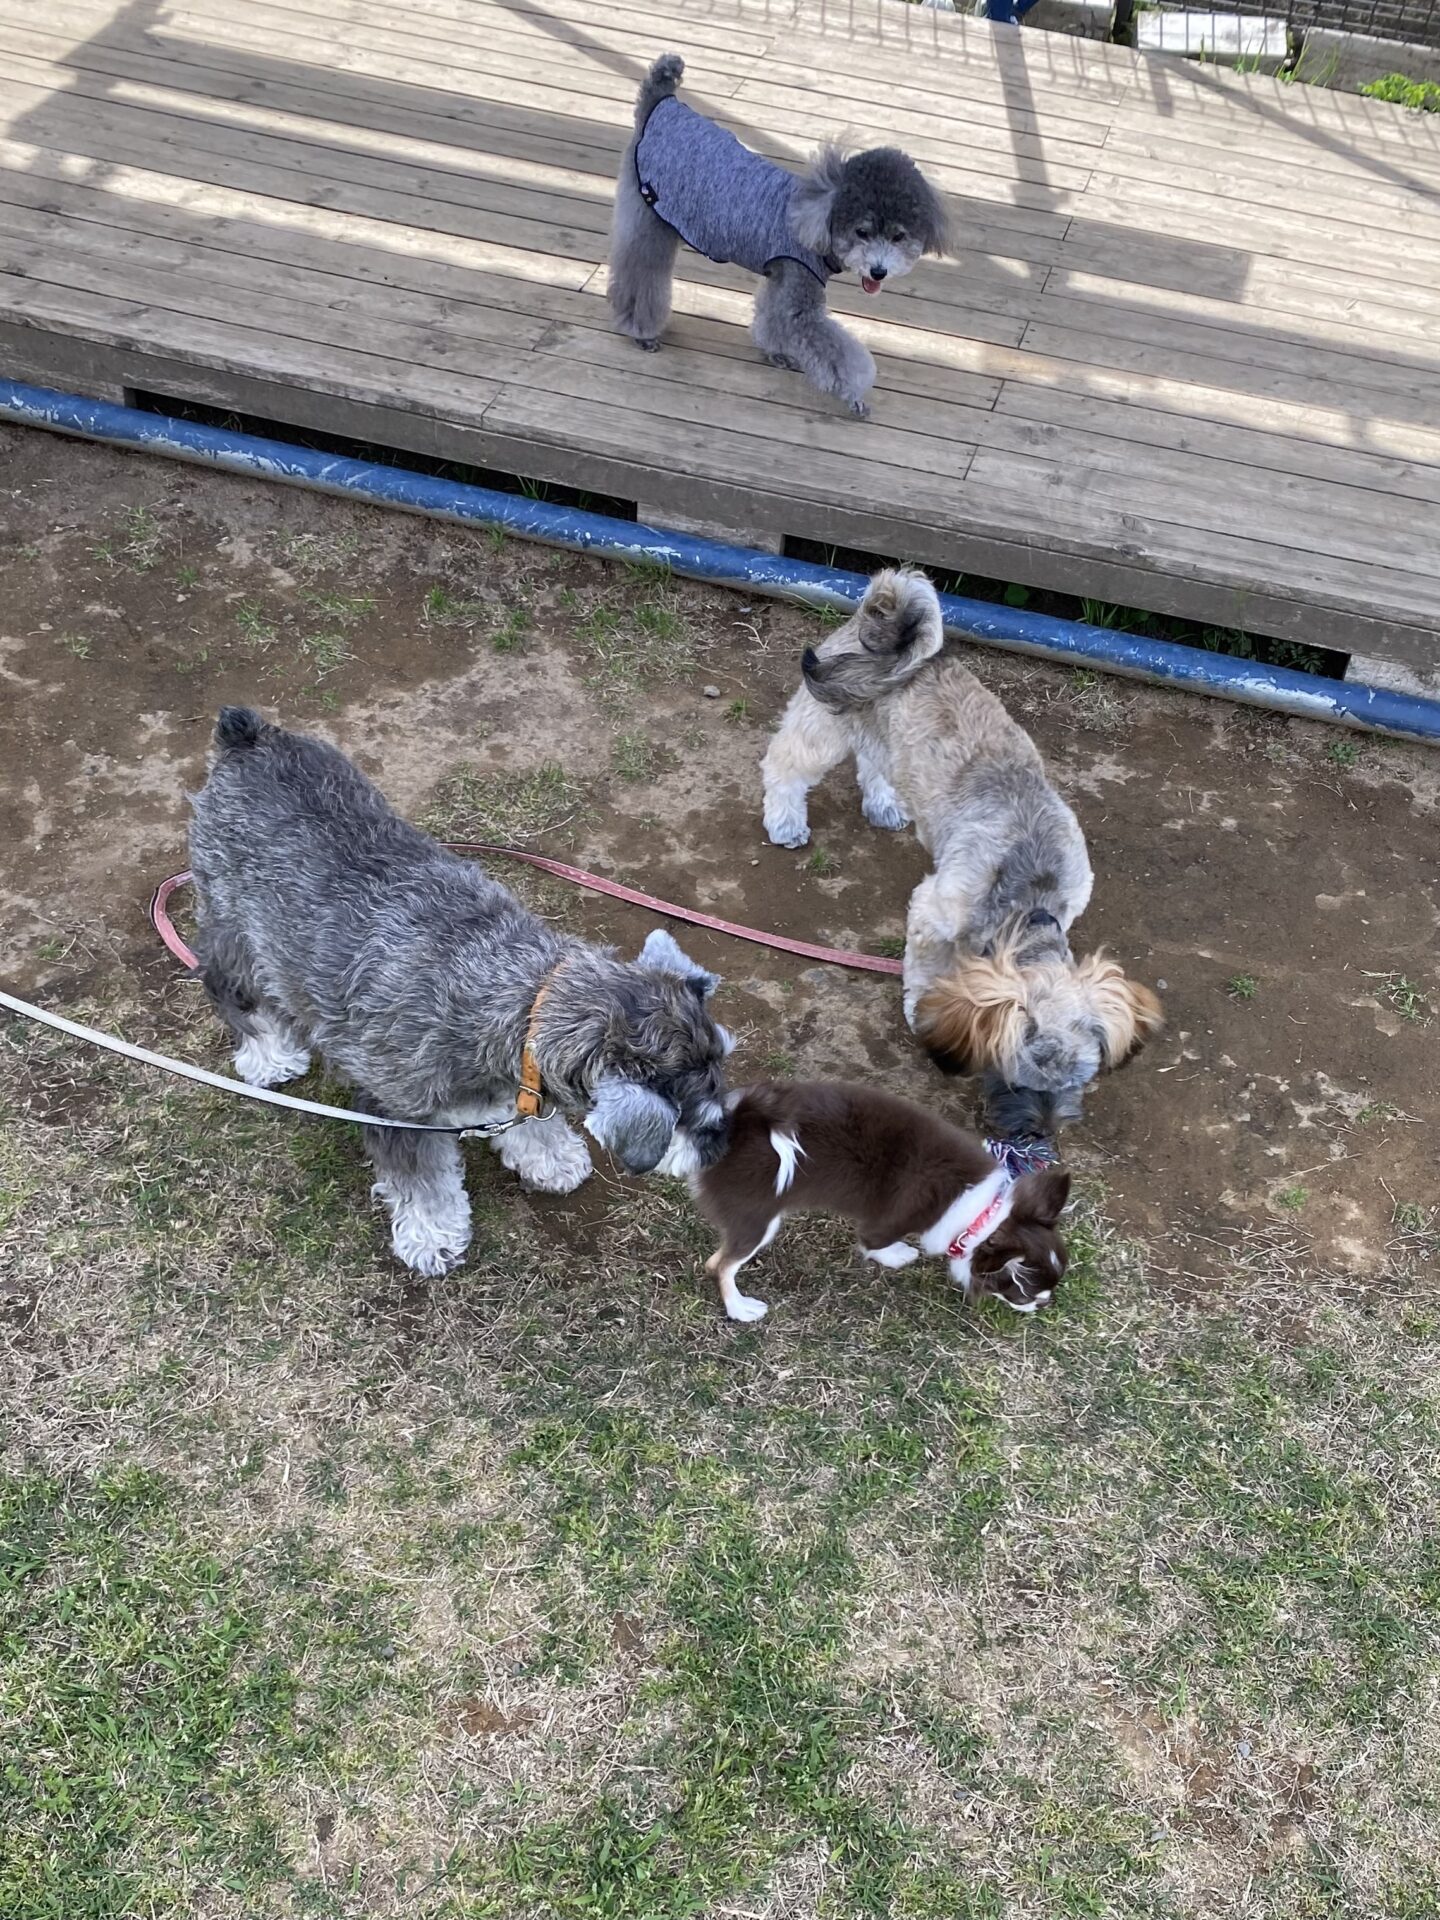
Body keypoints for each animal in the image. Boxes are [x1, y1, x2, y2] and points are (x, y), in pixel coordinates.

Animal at [189, 708, 733, 1278]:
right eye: (685, 1116)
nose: (721, 1145)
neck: (518, 994)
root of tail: (246, 736)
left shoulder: (519, 1087)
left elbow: (531, 1126)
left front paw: (552, 1158)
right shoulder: (396, 1111)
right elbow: (422, 1184)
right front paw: (432, 1238)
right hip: (233, 931)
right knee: (232, 991)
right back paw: (268, 1057)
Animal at [609, 54, 947, 418]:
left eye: (899, 237)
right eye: (862, 232)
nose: (879, 271)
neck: (817, 218)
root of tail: (661, 102)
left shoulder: (784, 277)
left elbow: (773, 315)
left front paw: (776, 352)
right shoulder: (801, 291)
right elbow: (837, 353)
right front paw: (855, 395)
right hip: (649, 217)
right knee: (641, 273)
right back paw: (640, 330)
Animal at [669, 1080, 1069, 1322]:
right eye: (1025, 1294)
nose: (1044, 1304)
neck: (981, 1216)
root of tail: (736, 1128)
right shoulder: (888, 1222)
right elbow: (874, 1243)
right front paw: (896, 1255)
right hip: (756, 1222)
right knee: (719, 1265)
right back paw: (739, 1307)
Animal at [760, 571, 1163, 1135]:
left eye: (1077, 1080)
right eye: (1014, 1077)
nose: (1040, 1131)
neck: (1031, 895)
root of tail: (878, 621)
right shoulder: (934, 911)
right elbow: (928, 969)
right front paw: (921, 1007)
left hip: (890, 742)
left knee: (873, 764)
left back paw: (883, 804)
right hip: (822, 728)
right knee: (785, 765)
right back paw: (785, 820)